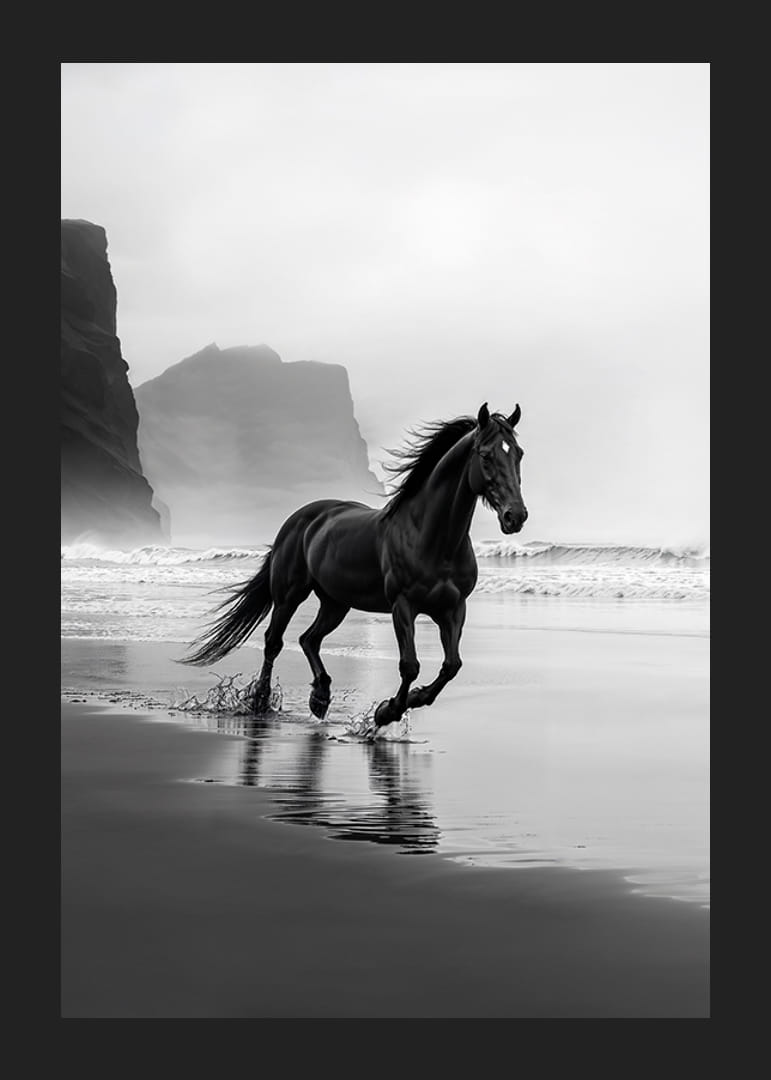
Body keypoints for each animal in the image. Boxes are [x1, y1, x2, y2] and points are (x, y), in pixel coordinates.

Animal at [181, 402, 527, 734]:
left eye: (518, 454)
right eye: (486, 454)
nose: (516, 516)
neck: (432, 539)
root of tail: (299, 519)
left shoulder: (453, 609)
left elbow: (452, 666)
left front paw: (406, 702)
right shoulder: (403, 605)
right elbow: (409, 665)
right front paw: (386, 712)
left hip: (336, 603)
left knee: (309, 639)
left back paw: (320, 698)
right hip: (289, 595)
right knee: (273, 642)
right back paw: (261, 702)